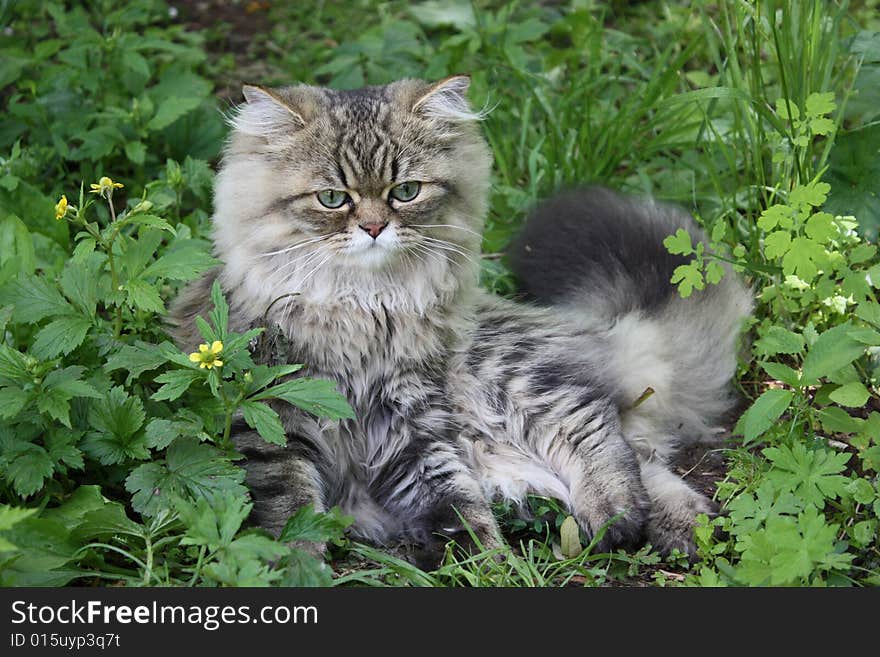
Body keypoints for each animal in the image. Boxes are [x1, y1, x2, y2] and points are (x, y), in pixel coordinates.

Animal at [170, 77, 748, 568]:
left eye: (406, 191)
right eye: (333, 198)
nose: (374, 227)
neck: (363, 308)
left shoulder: (413, 413)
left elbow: (458, 502)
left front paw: (490, 567)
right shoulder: (272, 420)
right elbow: (292, 516)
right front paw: (297, 569)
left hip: (513, 378)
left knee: (604, 438)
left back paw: (632, 520)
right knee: (635, 455)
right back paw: (671, 529)